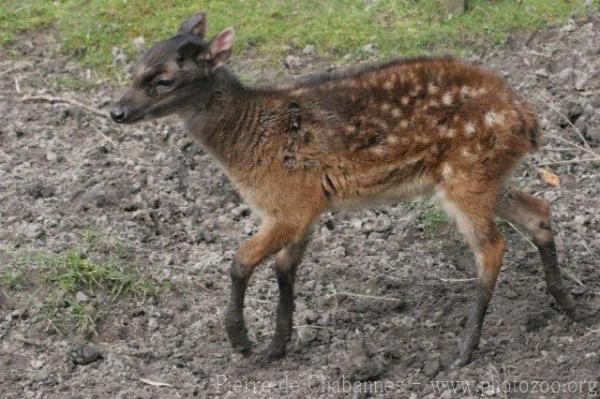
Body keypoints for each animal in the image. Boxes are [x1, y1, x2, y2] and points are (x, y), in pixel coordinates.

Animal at [110, 11, 584, 368]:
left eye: (163, 80)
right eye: (134, 70)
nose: (116, 112)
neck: (249, 138)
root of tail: (526, 119)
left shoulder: (290, 205)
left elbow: (240, 261)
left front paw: (242, 342)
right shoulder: (303, 207)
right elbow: (285, 269)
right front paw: (276, 347)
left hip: (466, 176)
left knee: (493, 247)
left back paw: (463, 351)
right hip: (486, 177)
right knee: (539, 211)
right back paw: (571, 307)